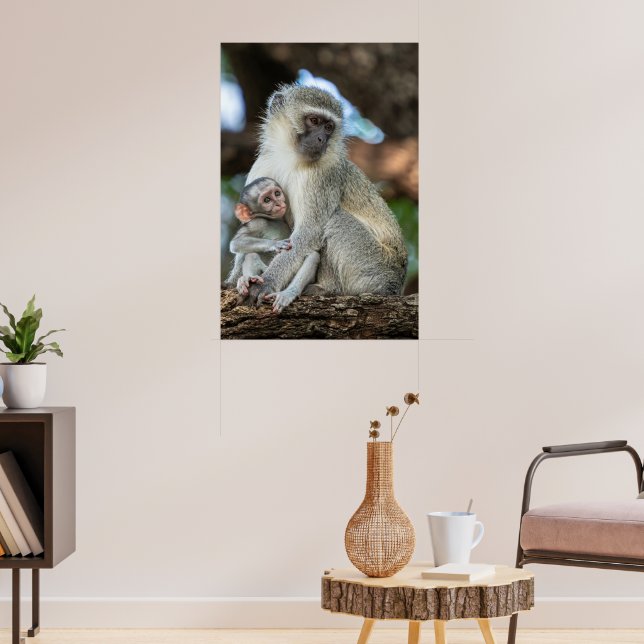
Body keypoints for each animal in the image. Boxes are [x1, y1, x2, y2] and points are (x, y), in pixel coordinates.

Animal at [224, 177, 320, 312]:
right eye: (267, 200)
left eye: (277, 193)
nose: (279, 203)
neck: (274, 220)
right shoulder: (258, 222)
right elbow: (236, 243)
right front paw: (276, 244)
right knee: (251, 256)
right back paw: (248, 279)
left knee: (313, 256)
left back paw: (288, 294)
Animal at [244, 84, 408, 309]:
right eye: (314, 121)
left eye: (329, 127)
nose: (321, 139)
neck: (291, 157)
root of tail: (397, 285)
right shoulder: (263, 165)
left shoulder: (324, 174)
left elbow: (309, 232)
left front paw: (266, 282)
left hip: (375, 268)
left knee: (336, 220)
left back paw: (327, 289)